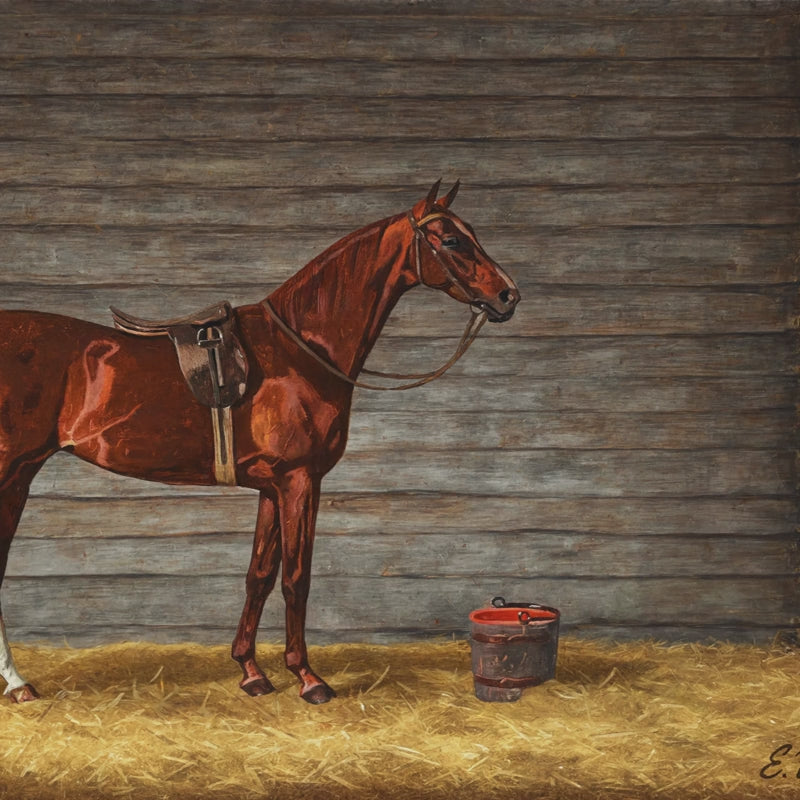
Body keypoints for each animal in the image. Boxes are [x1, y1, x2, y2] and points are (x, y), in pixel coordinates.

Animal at [0, 181, 520, 704]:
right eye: (451, 240)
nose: (508, 296)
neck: (302, 348)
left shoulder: (272, 489)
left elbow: (259, 576)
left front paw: (250, 670)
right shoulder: (299, 482)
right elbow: (295, 579)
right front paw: (307, 677)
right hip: (11, 476)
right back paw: (18, 685)